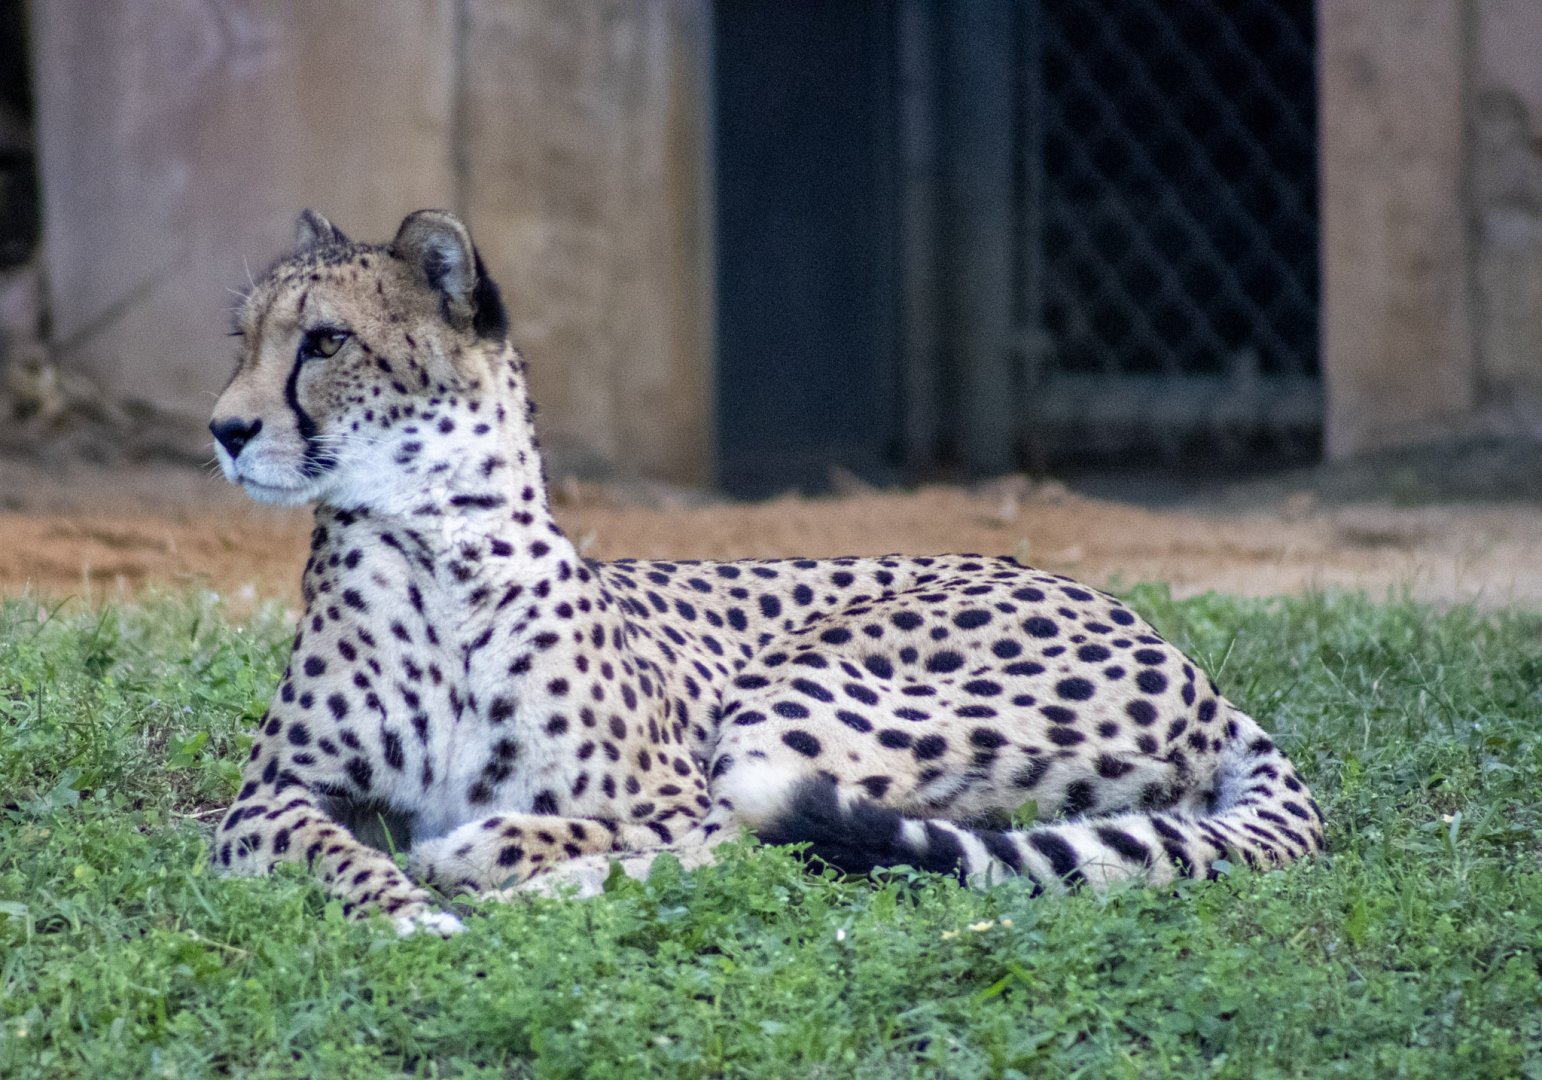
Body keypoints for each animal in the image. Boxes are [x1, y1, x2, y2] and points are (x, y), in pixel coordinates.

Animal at [208, 208, 1324, 935]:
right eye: (244, 339)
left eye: (325, 342)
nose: (224, 429)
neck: (433, 537)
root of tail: (1191, 667)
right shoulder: (267, 800)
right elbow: (330, 848)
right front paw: (403, 910)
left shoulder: (666, 786)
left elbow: (653, 825)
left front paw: (473, 859)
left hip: (803, 683)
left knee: (765, 836)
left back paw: (504, 871)